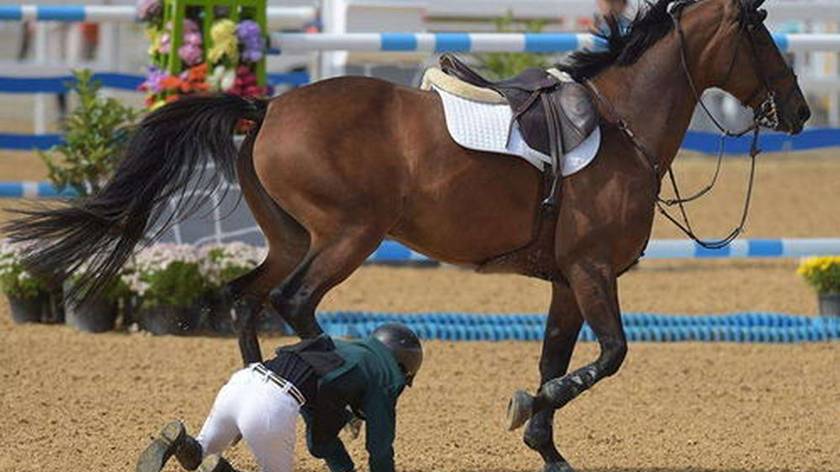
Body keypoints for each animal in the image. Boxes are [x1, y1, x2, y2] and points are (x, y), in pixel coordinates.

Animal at [5, 0, 810, 470]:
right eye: (762, 31)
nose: (800, 110)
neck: (621, 127)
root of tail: (267, 107)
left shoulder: (566, 280)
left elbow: (557, 359)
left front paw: (543, 443)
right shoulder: (592, 272)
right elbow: (607, 357)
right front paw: (531, 413)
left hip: (293, 237)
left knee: (246, 299)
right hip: (349, 235)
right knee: (295, 303)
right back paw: (327, 397)